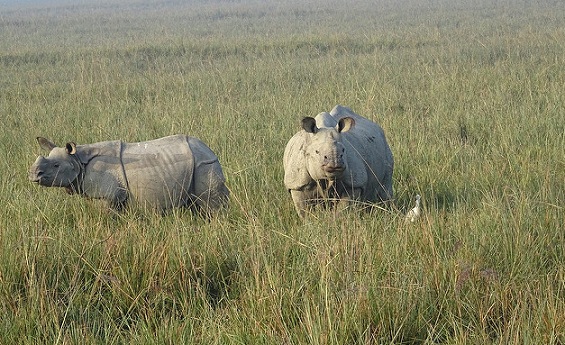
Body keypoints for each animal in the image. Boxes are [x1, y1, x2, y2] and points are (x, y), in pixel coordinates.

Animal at [29, 134, 229, 215]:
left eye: (56, 165)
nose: (32, 175)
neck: (77, 159)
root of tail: (209, 151)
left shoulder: (107, 196)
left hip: (205, 165)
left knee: (210, 204)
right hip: (198, 164)